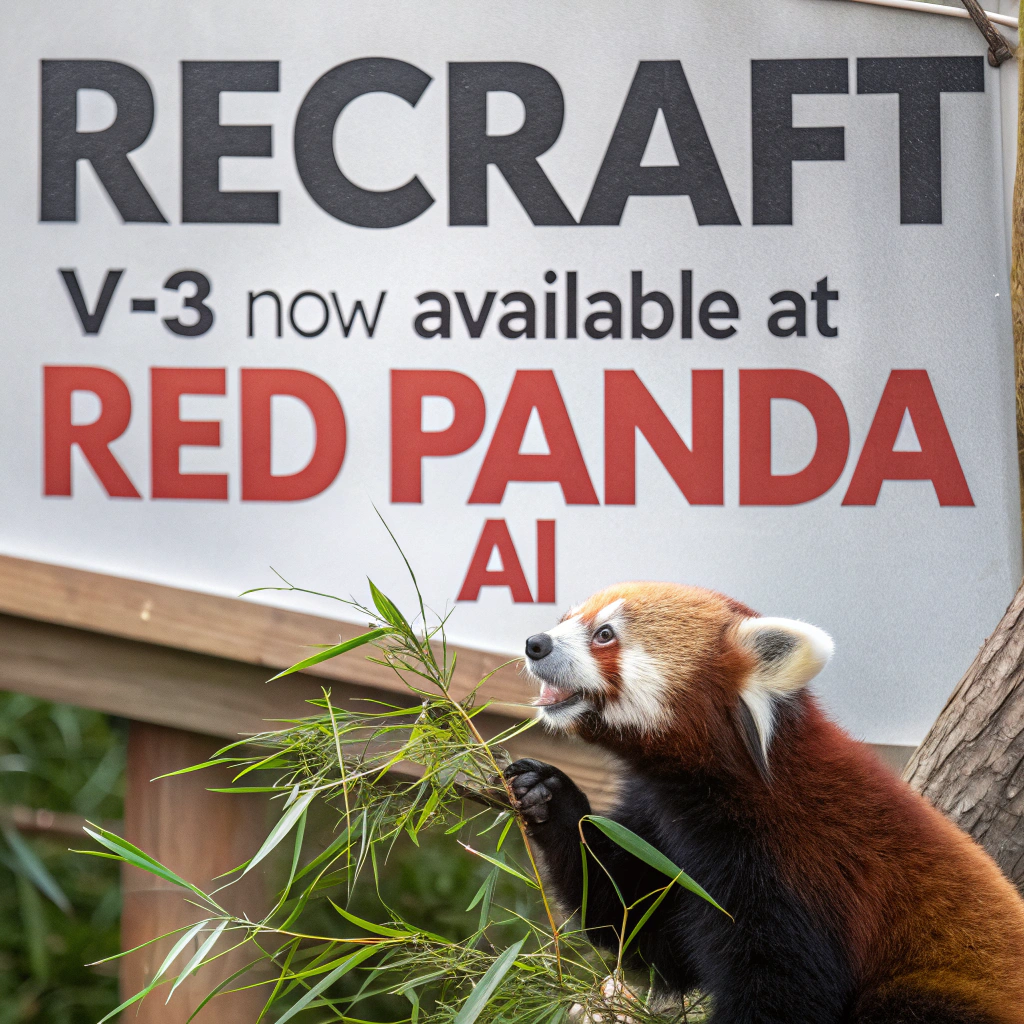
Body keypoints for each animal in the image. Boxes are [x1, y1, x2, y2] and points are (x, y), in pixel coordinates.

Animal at [504, 582, 1024, 1024]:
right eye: (565, 618)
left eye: (605, 634)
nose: (535, 643)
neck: (713, 788)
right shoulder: (660, 822)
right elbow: (636, 915)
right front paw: (547, 796)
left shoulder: (795, 865)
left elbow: (782, 989)